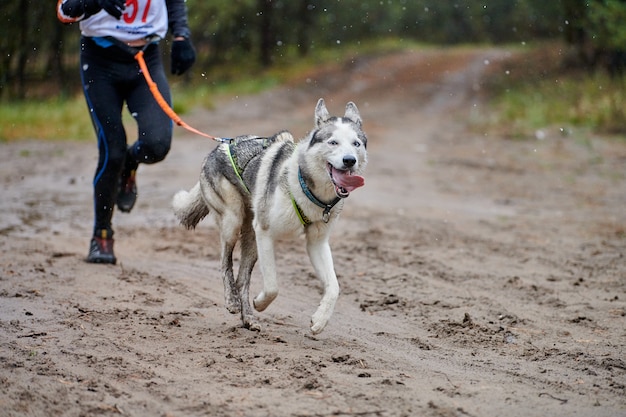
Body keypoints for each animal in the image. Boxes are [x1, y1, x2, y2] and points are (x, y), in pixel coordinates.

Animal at [171, 99, 366, 334]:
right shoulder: (265, 232)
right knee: (225, 262)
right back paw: (232, 301)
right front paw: (260, 303)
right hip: (233, 223)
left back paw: (248, 318)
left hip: (251, 239)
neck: (306, 186)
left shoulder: (317, 243)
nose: (349, 160)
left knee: (242, 279)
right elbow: (273, 286)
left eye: (356, 144)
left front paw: (320, 320)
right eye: (333, 142)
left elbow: (334, 286)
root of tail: (220, 146)